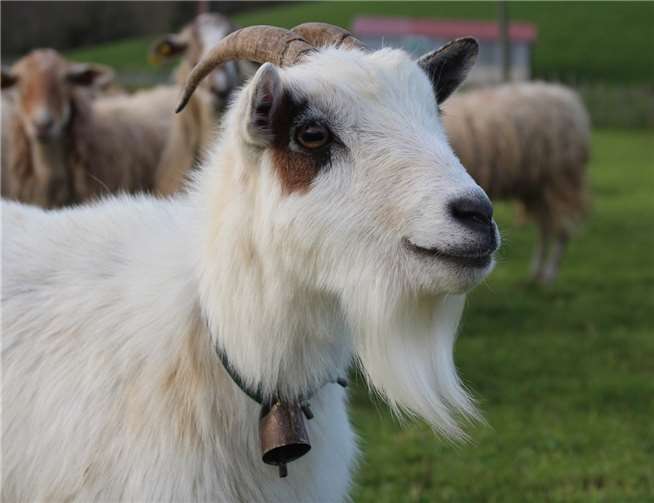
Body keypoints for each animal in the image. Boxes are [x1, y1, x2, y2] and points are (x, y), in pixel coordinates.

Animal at [442, 82, 590, 283]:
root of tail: (567, 97)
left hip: (560, 179)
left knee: (562, 230)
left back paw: (549, 275)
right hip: (537, 187)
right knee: (545, 228)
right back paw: (536, 272)